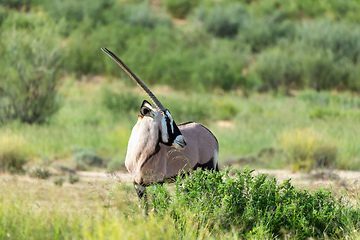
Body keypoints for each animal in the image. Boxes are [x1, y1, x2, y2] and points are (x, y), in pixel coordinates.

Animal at [101, 47, 219, 200]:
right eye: (167, 119)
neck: (140, 156)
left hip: (208, 169)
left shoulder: (157, 183)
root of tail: (211, 134)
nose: (183, 142)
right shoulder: (138, 185)